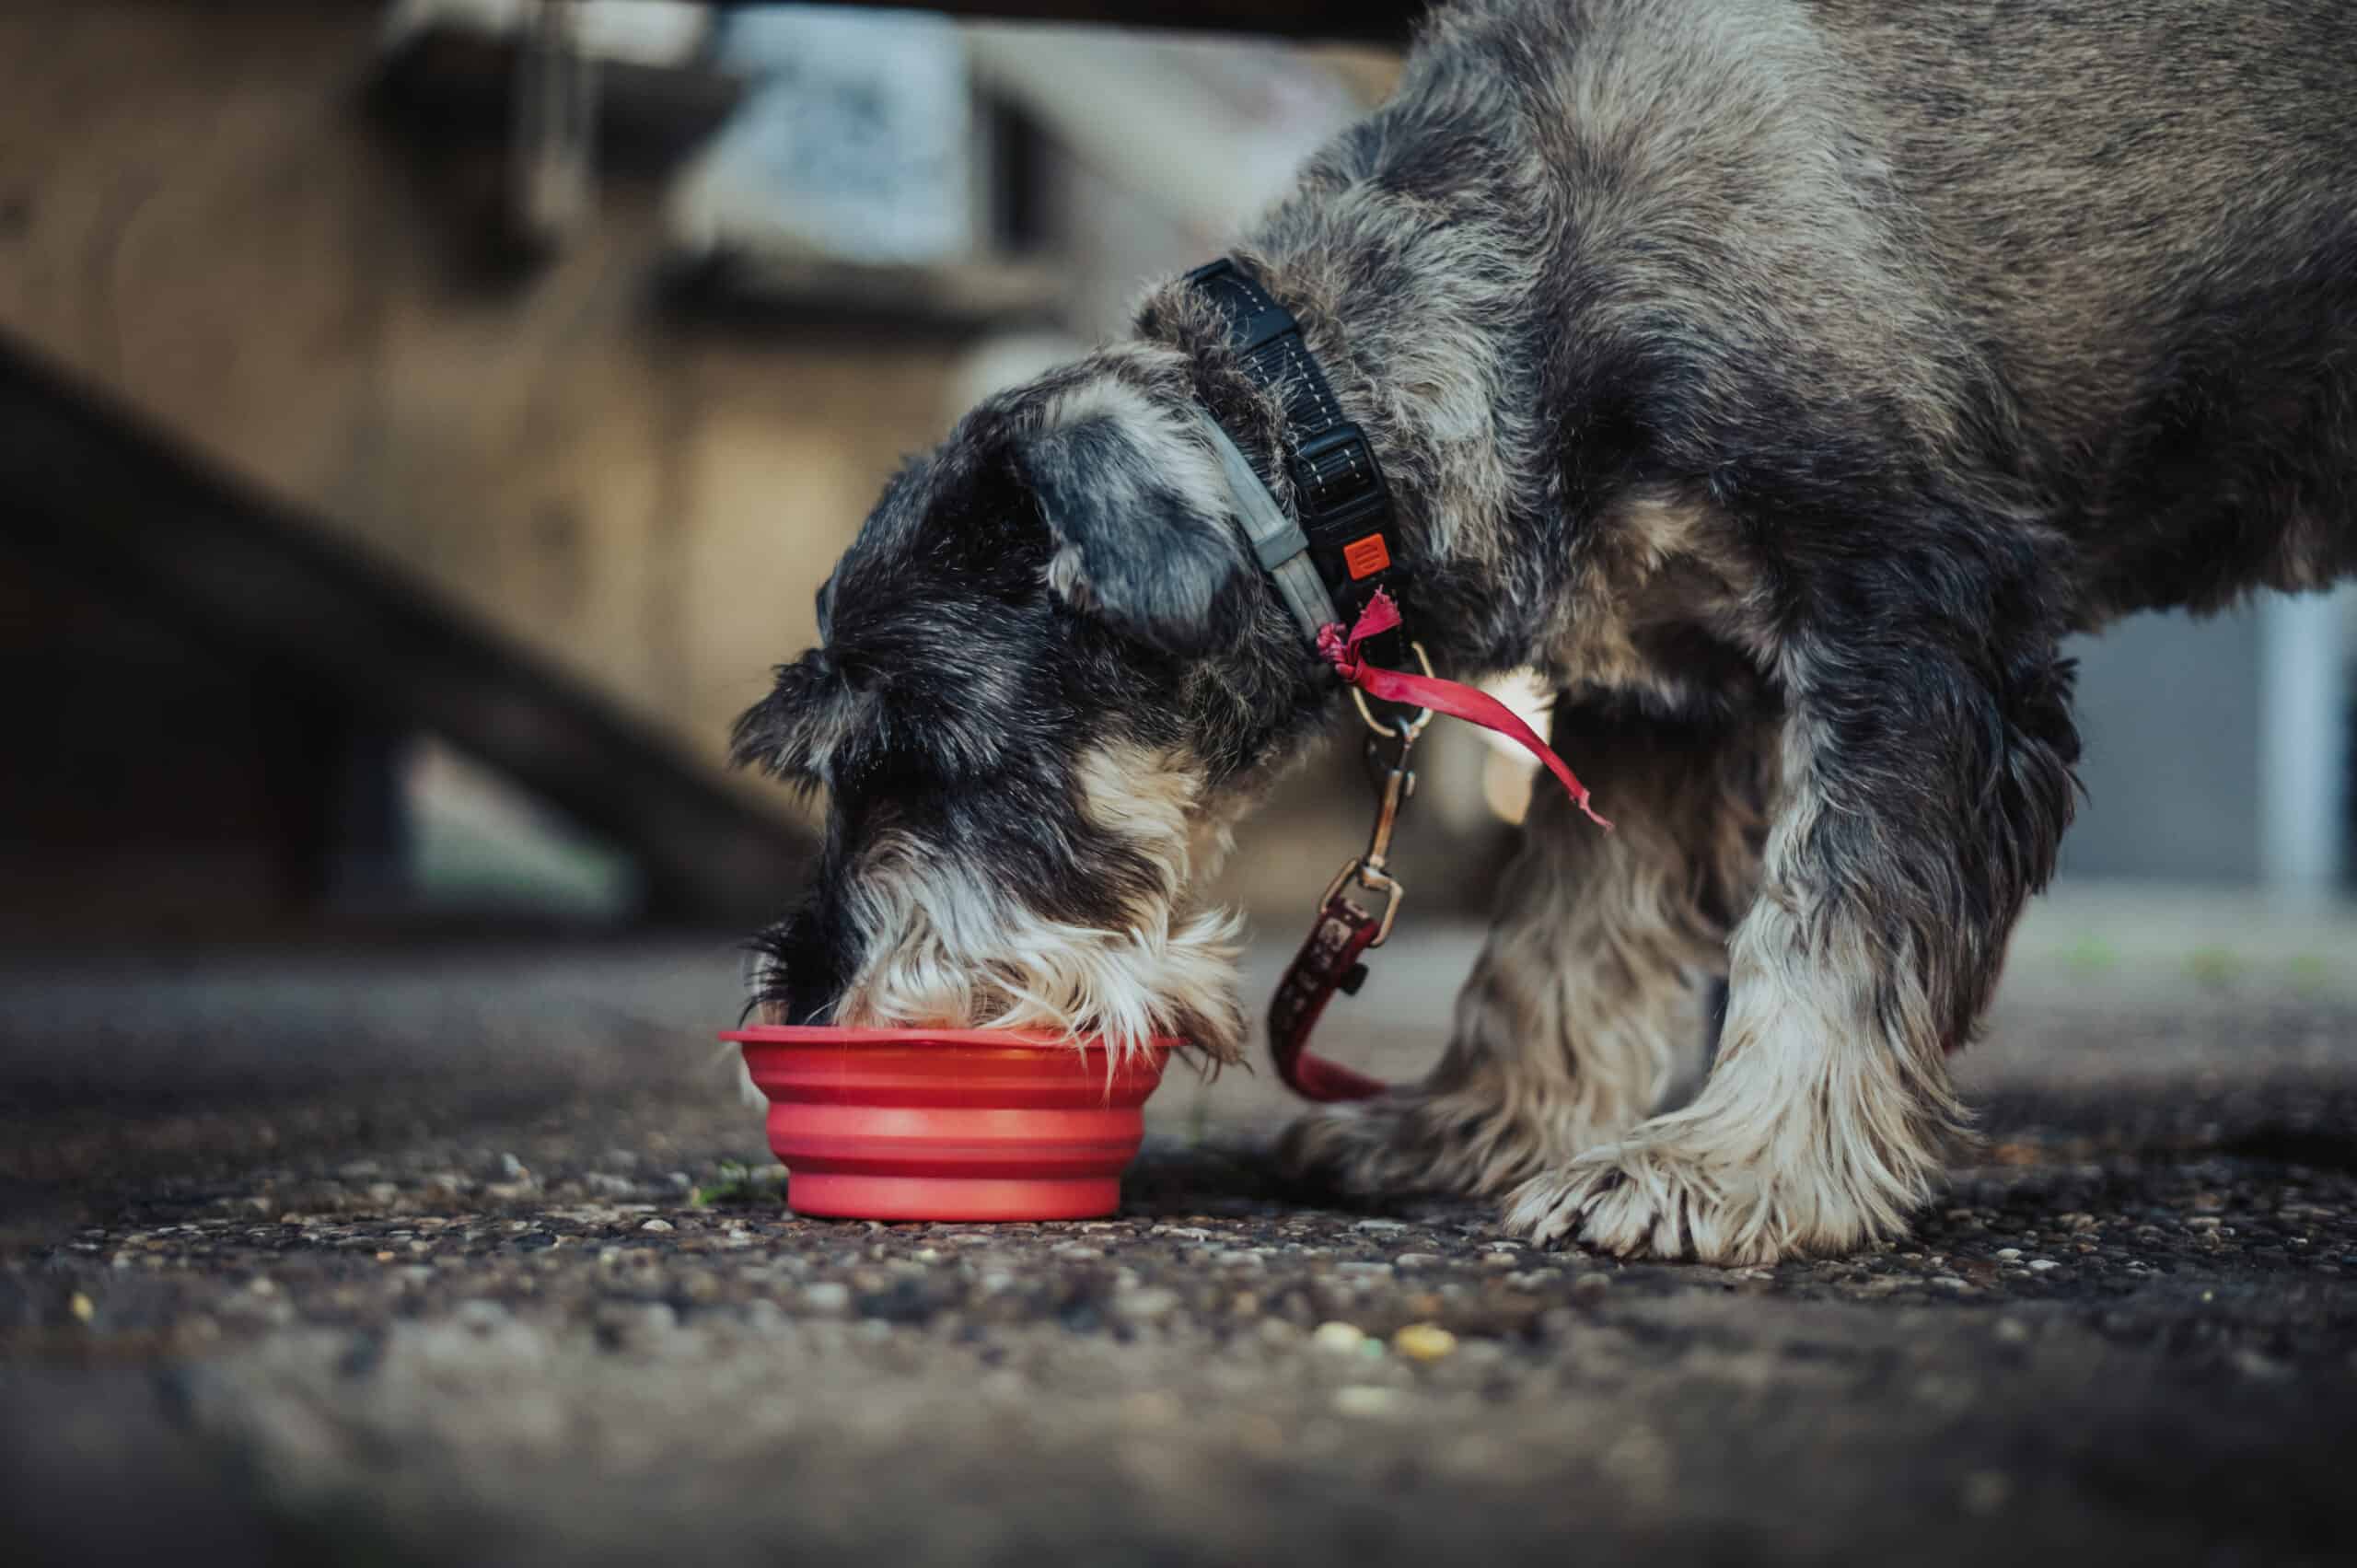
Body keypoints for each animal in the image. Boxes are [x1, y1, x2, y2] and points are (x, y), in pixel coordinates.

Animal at [726, 0, 2347, 1263]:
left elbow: (1835, 917)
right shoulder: (1667, 695)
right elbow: (1570, 927)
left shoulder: (1920, 623)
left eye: (923, 754)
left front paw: (1728, 1164)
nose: (803, 988)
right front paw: (1476, 1121)